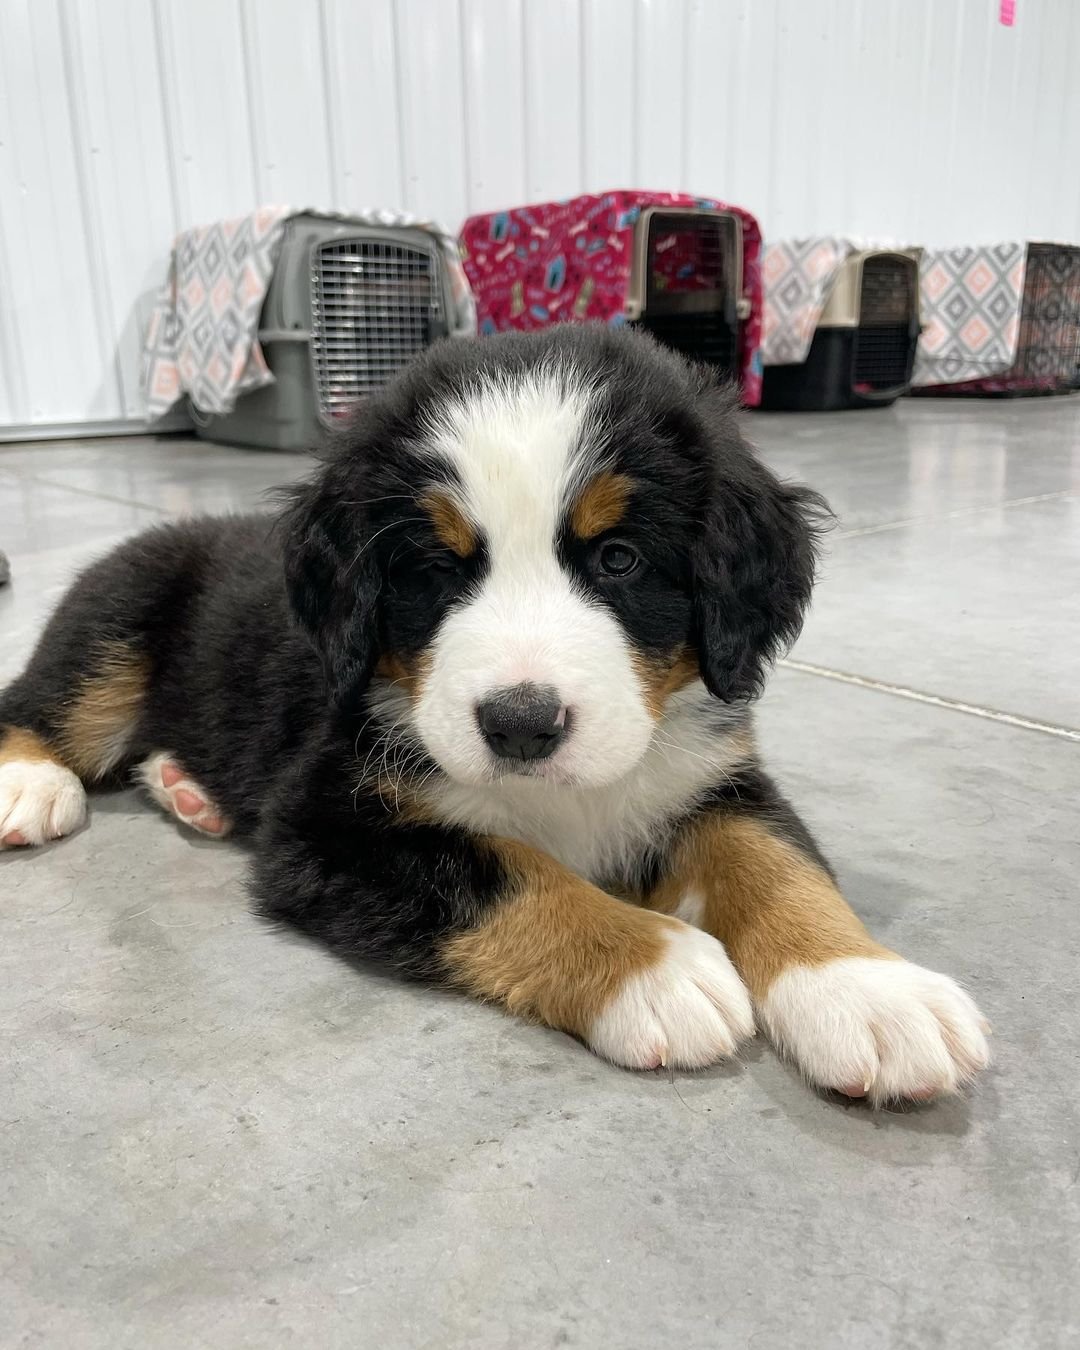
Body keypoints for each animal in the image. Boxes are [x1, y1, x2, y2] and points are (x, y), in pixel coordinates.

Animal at [0, 329, 988, 1107]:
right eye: (436, 569)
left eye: (619, 559)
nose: (521, 724)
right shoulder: (325, 824)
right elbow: (503, 872)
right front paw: (656, 964)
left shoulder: (711, 774)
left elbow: (777, 863)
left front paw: (869, 991)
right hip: (115, 622)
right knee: (39, 700)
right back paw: (28, 782)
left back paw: (186, 788)